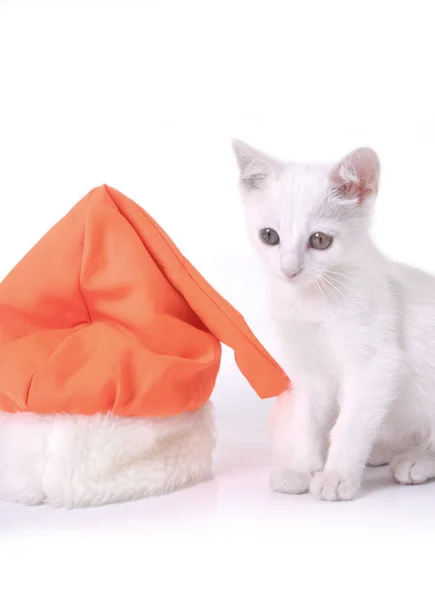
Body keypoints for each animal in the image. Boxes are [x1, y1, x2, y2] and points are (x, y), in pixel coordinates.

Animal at [233, 141, 435, 502]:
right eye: (269, 236)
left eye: (320, 240)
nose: (289, 270)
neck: (312, 299)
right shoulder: (309, 369)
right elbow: (309, 420)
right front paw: (302, 468)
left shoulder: (377, 364)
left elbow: (351, 423)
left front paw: (337, 475)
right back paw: (385, 450)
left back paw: (417, 460)